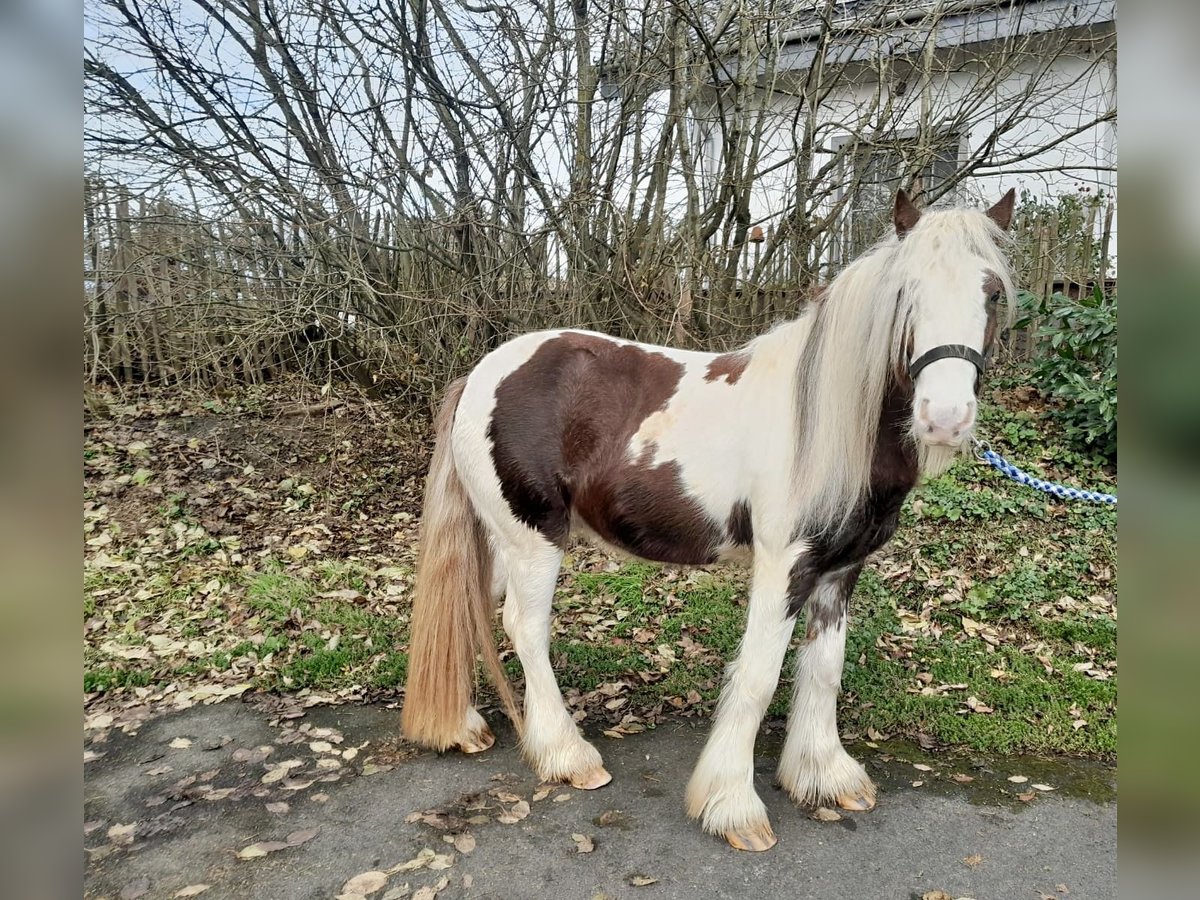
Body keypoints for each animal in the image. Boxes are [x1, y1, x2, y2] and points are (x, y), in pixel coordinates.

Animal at [400, 188, 1012, 854]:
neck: (824, 421)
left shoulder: (840, 568)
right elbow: (760, 677)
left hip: (504, 541)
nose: (945, 418)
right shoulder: (785, 565)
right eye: (906, 292)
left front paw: (824, 776)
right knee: (524, 627)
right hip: (534, 540)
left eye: (993, 293)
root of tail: (480, 373)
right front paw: (733, 807)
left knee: (470, 604)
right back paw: (567, 754)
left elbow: (825, 668)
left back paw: (461, 726)